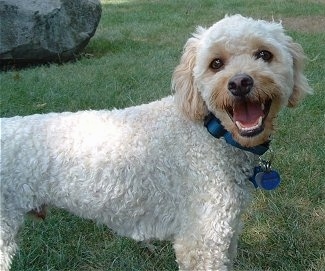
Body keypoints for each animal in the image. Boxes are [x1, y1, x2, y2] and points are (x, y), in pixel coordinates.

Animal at [0, 14, 312, 271]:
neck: (211, 133)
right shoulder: (202, 240)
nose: (239, 83)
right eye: (216, 64)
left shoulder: (227, 230)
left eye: (264, 54)